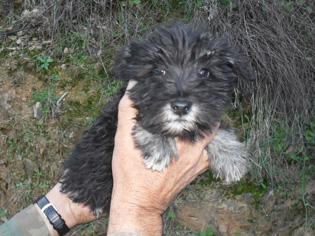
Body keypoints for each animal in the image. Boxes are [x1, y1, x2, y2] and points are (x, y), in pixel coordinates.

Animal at [60, 24, 256, 216]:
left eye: (204, 72)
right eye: (158, 71)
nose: (180, 107)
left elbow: (217, 126)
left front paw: (230, 156)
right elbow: (146, 118)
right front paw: (159, 146)